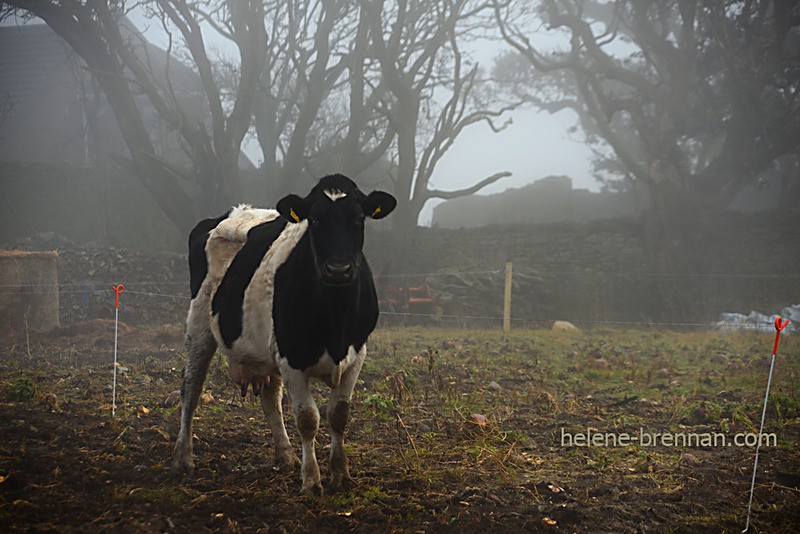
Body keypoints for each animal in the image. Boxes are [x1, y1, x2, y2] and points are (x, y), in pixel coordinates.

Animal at [173, 176, 398, 494]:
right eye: (313, 220)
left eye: (358, 219)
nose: (338, 269)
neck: (335, 323)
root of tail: (237, 210)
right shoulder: (291, 356)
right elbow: (307, 419)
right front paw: (312, 481)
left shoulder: (357, 353)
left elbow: (339, 414)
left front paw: (340, 473)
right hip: (199, 323)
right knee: (190, 389)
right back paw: (183, 459)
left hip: (267, 345)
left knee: (270, 399)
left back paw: (286, 455)